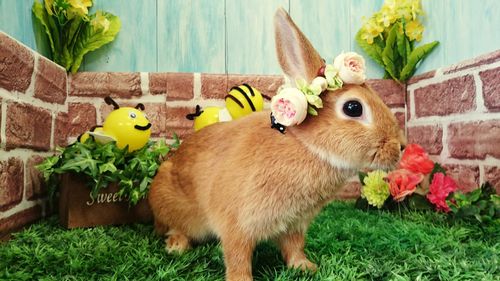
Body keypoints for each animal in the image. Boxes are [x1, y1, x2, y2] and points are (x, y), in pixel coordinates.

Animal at [149, 6, 406, 280]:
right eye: (353, 107)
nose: (401, 146)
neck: (307, 146)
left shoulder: (295, 224)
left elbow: (294, 247)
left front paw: (305, 267)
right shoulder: (236, 224)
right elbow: (237, 256)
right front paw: (241, 279)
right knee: (173, 227)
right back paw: (176, 246)